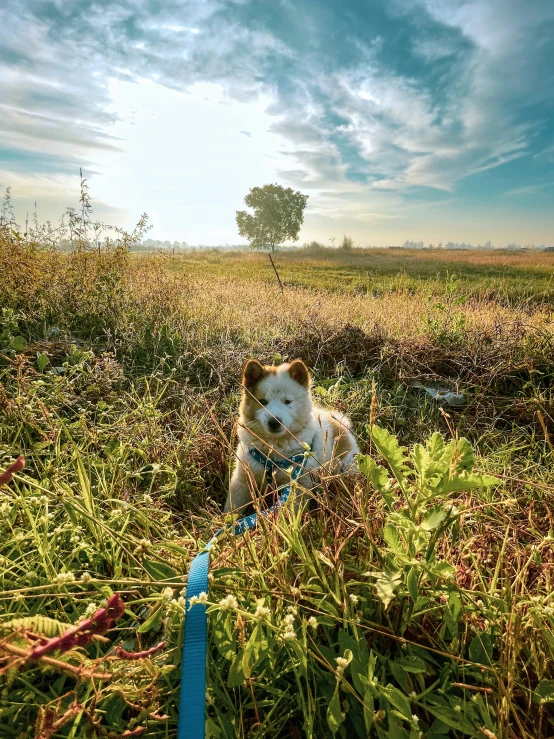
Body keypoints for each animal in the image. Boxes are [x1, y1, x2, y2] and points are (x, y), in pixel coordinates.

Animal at [224, 360, 358, 516]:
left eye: (287, 401)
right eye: (262, 401)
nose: (274, 421)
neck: (274, 453)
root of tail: (342, 426)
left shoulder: (299, 484)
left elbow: (290, 513)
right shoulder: (243, 479)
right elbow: (232, 509)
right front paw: (225, 521)